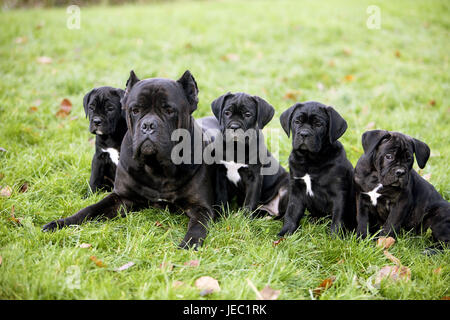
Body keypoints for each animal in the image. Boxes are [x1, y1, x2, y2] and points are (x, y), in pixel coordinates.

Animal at [42, 70, 216, 250]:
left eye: (169, 110)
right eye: (135, 110)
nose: (148, 125)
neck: (156, 167)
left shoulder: (200, 207)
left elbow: (197, 226)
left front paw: (189, 243)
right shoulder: (120, 198)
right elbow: (89, 210)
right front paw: (60, 223)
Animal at [278, 101, 356, 236]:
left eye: (319, 124)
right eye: (297, 121)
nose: (304, 134)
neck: (310, 160)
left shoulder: (339, 194)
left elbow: (338, 219)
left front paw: (335, 238)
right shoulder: (296, 191)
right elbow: (291, 213)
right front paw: (285, 234)